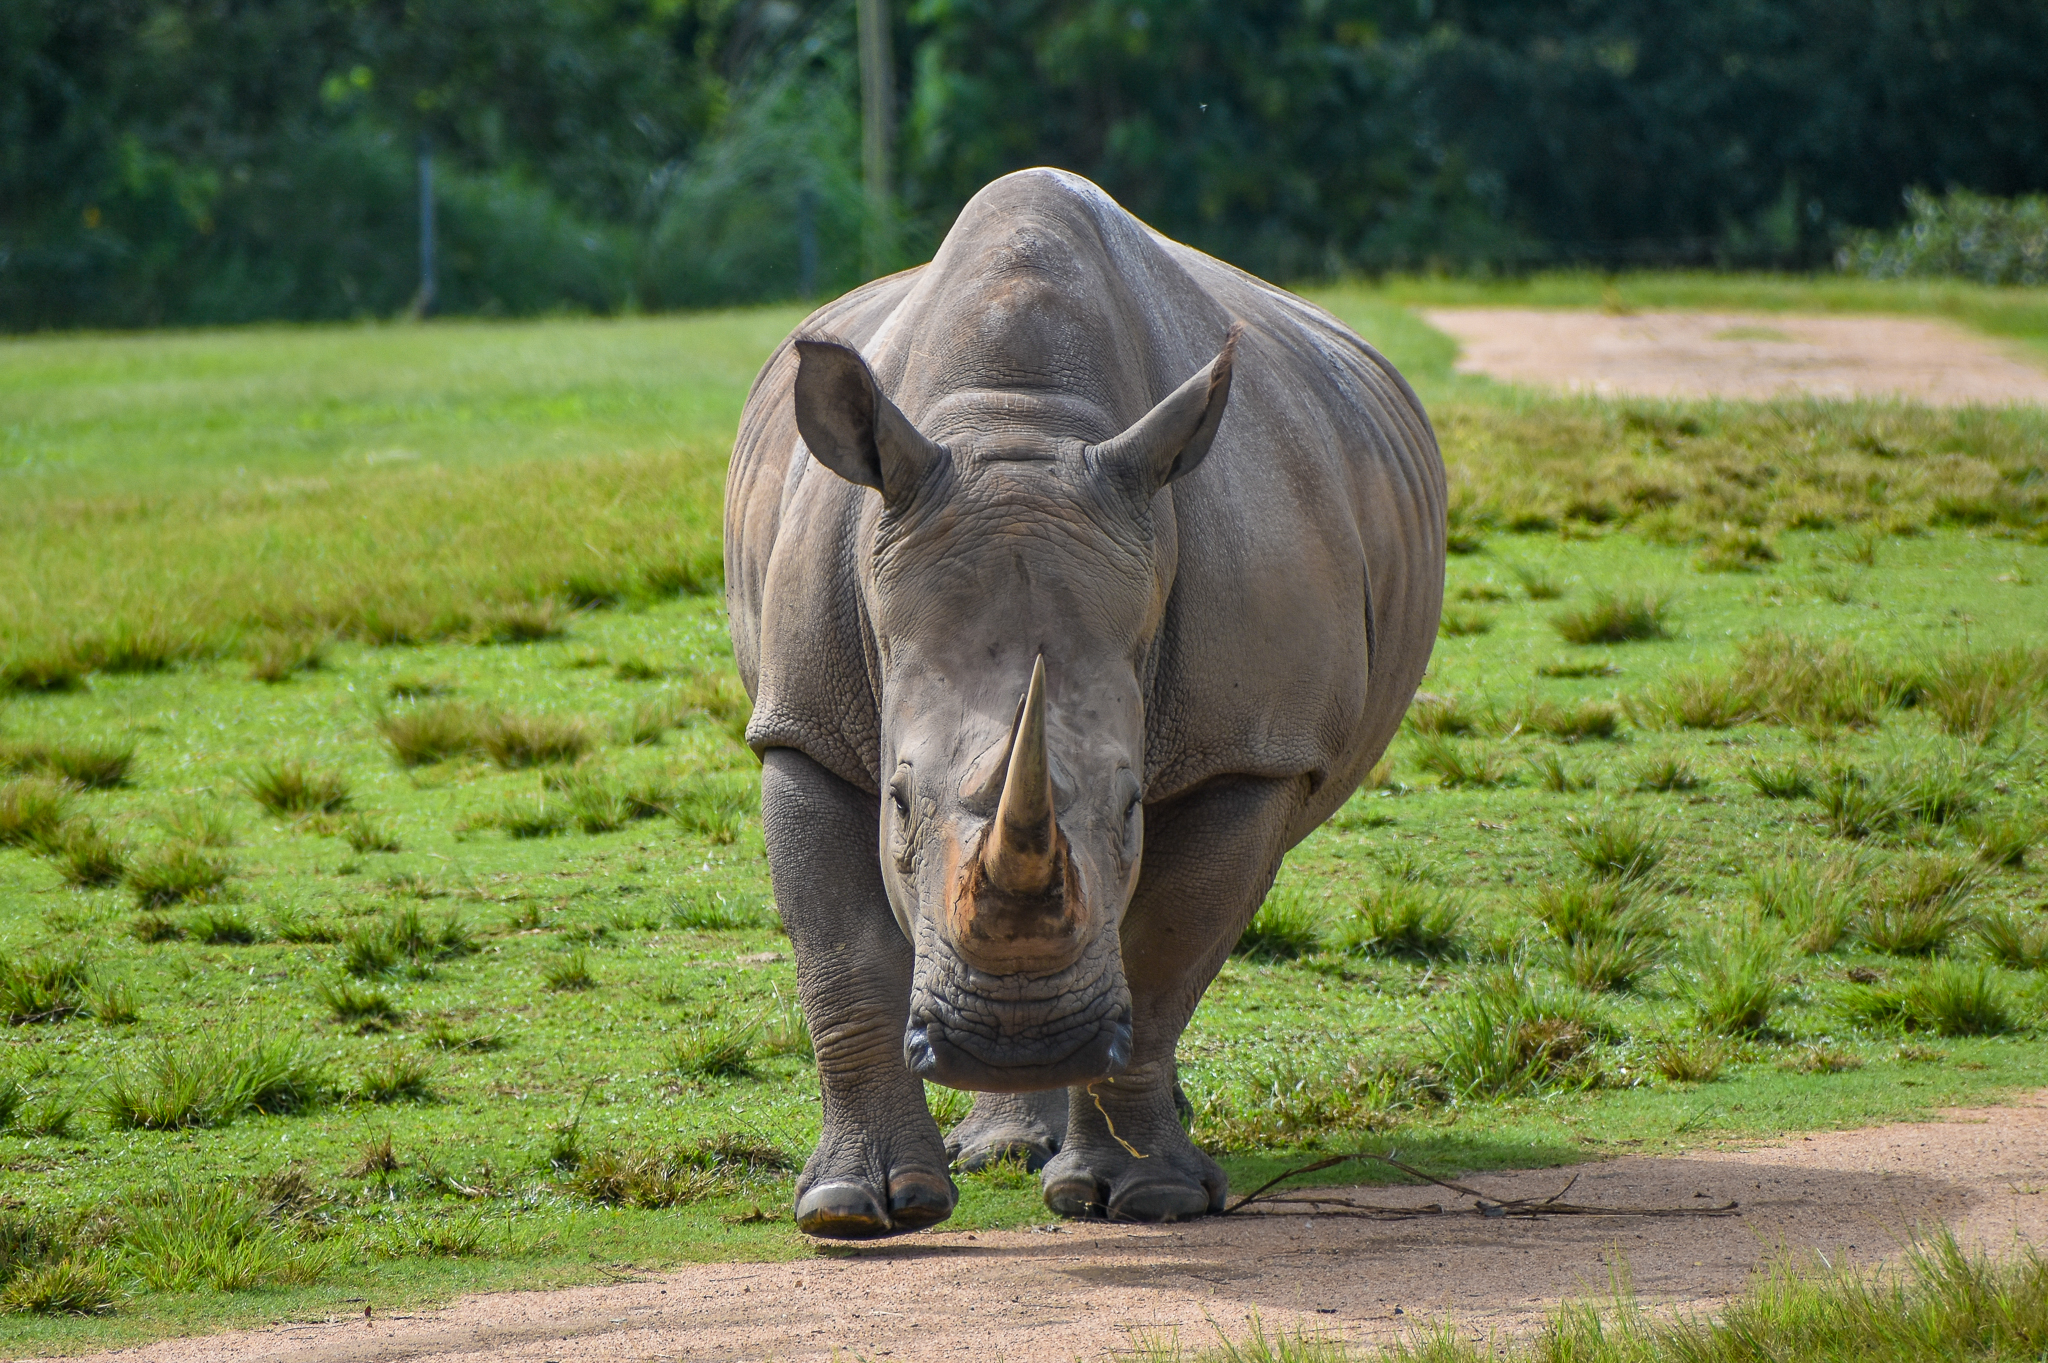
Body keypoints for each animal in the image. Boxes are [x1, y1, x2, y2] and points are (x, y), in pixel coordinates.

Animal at [724, 168, 1444, 1237]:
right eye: (897, 801)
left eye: (1134, 805)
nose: (1014, 1039)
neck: (1017, 428)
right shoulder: (803, 726)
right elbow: (842, 960)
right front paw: (856, 1209)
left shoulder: (1249, 749)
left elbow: (1166, 957)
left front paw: (1143, 1197)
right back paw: (1006, 1147)